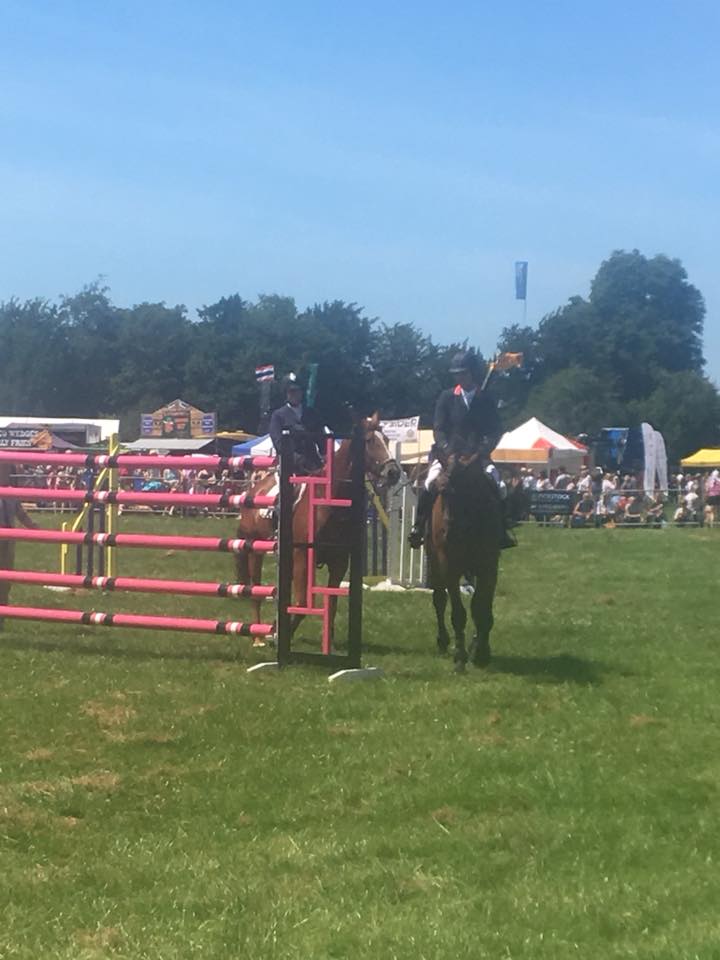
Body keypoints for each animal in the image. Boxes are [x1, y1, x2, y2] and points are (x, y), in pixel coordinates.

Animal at [235, 414, 400, 644]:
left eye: (386, 439)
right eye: (369, 441)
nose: (393, 472)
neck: (330, 501)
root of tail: (253, 491)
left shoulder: (339, 561)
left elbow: (331, 603)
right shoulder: (303, 556)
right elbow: (302, 603)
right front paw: (280, 633)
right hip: (255, 550)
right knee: (255, 590)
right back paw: (258, 637)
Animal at [424, 458, 504, 676]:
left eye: (470, 489)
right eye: (442, 491)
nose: (450, 533)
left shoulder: (488, 567)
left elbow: (481, 608)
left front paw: (481, 652)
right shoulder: (449, 568)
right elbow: (459, 614)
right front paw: (460, 657)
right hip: (435, 563)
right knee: (439, 599)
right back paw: (443, 641)